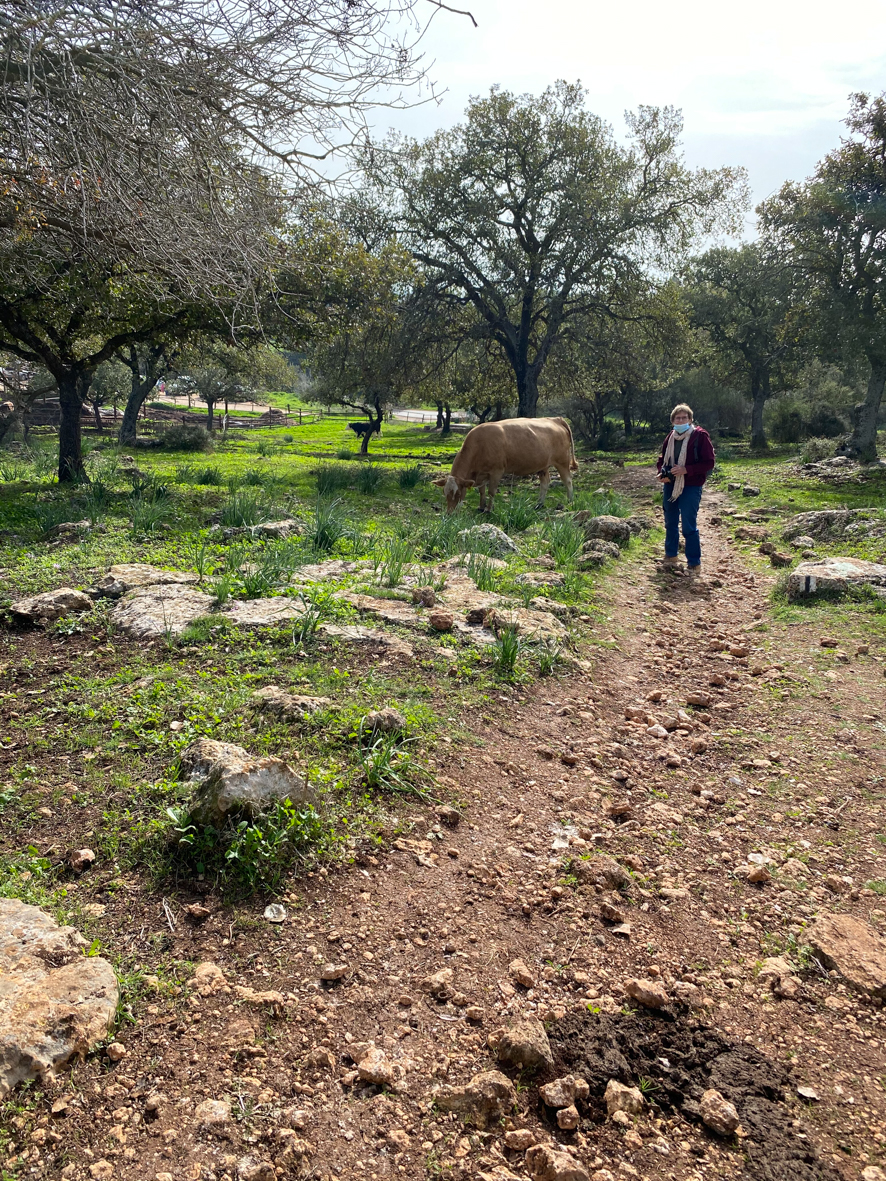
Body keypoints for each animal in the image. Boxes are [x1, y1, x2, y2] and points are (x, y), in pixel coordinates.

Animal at [432, 418, 583, 514]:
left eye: (458, 493)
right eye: (445, 493)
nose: (450, 513)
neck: (480, 445)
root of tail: (555, 419)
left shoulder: (497, 471)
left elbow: (491, 491)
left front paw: (488, 509)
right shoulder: (481, 474)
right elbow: (482, 491)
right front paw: (481, 507)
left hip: (562, 461)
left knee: (567, 481)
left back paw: (570, 501)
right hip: (543, 465)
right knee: (545, 482)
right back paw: (539, 504)